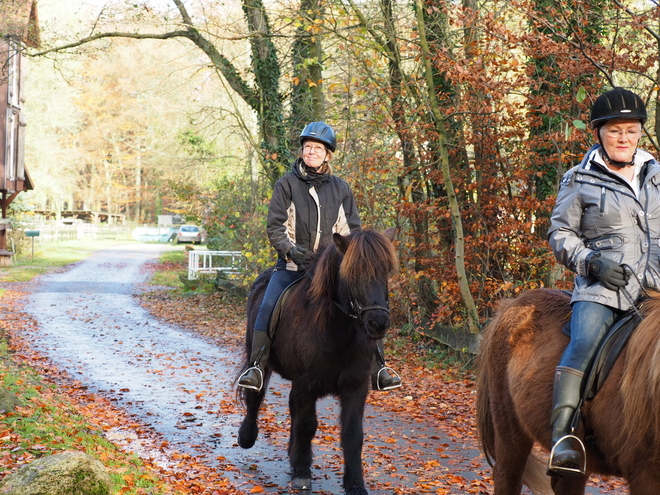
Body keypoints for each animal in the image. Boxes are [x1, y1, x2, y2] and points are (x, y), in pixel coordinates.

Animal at [237, 229, 398, 495]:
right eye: (353, 272)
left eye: (386, 269)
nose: (378, 323)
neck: (337, 332)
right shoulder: (306, 385)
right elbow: (307, 425)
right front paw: (302, 473)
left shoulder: (355, 387)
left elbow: (352, 434)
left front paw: (355, 483)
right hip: (259, 358)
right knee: (255, 396)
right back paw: (247, 436)